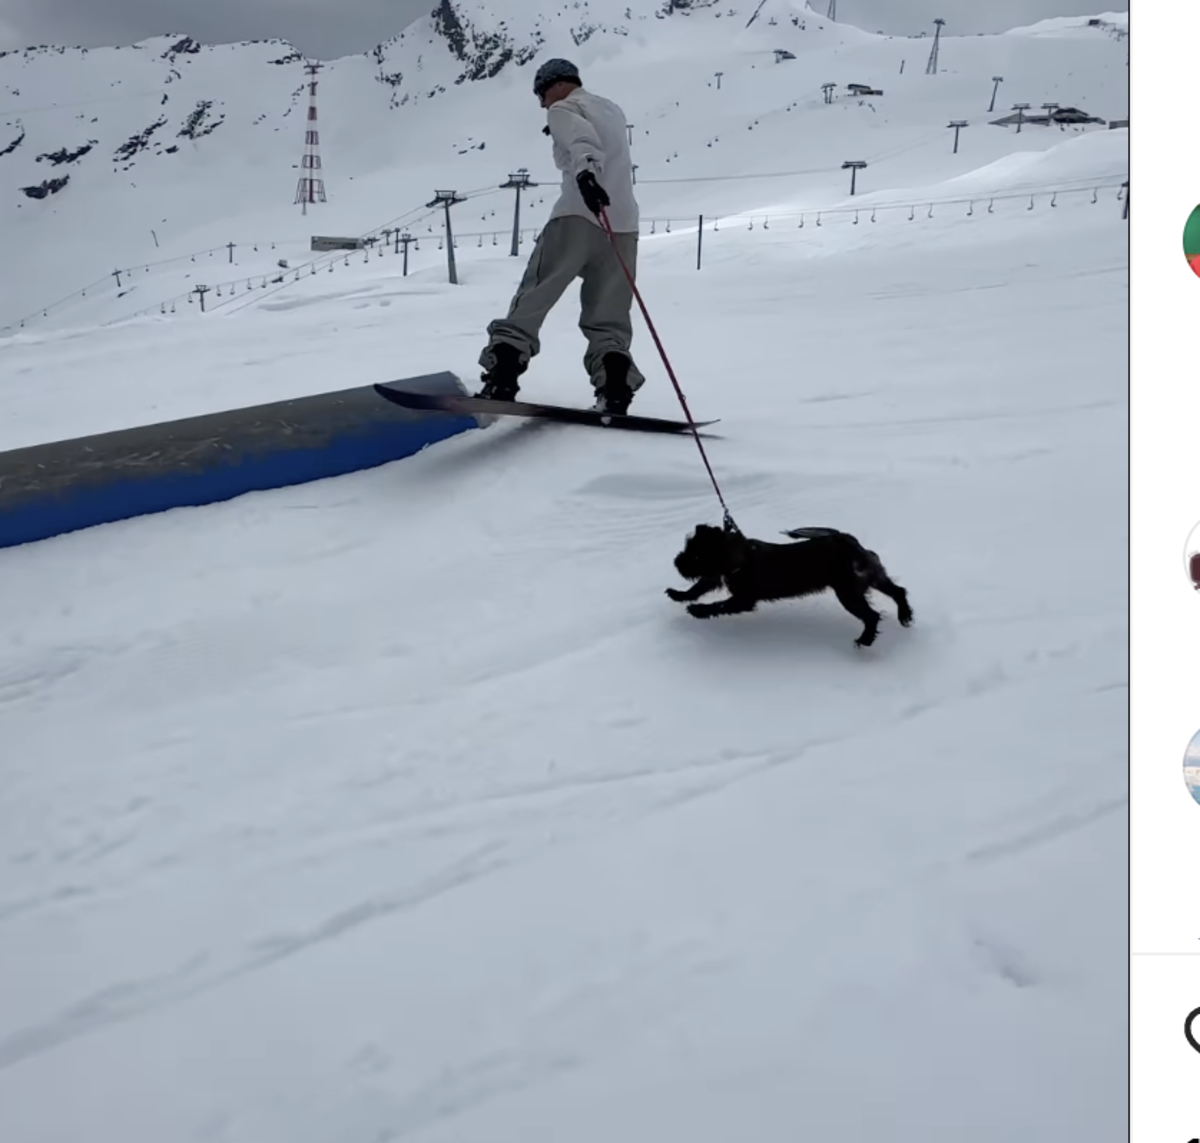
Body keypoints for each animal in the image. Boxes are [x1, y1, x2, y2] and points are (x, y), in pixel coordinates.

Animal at [672, 523, 912, 648]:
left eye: (696, 555)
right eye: (687, 547)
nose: (677, 562)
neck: (740, 555)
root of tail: (848, 540)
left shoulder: (743, 599)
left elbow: (718, 604)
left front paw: (698, 610)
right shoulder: (716, 576)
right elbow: (698, 588)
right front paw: (679, 595)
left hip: (848, 592)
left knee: (872, 615)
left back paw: (866, 639)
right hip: (872, 576)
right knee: (898, 591)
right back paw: (905, 615)